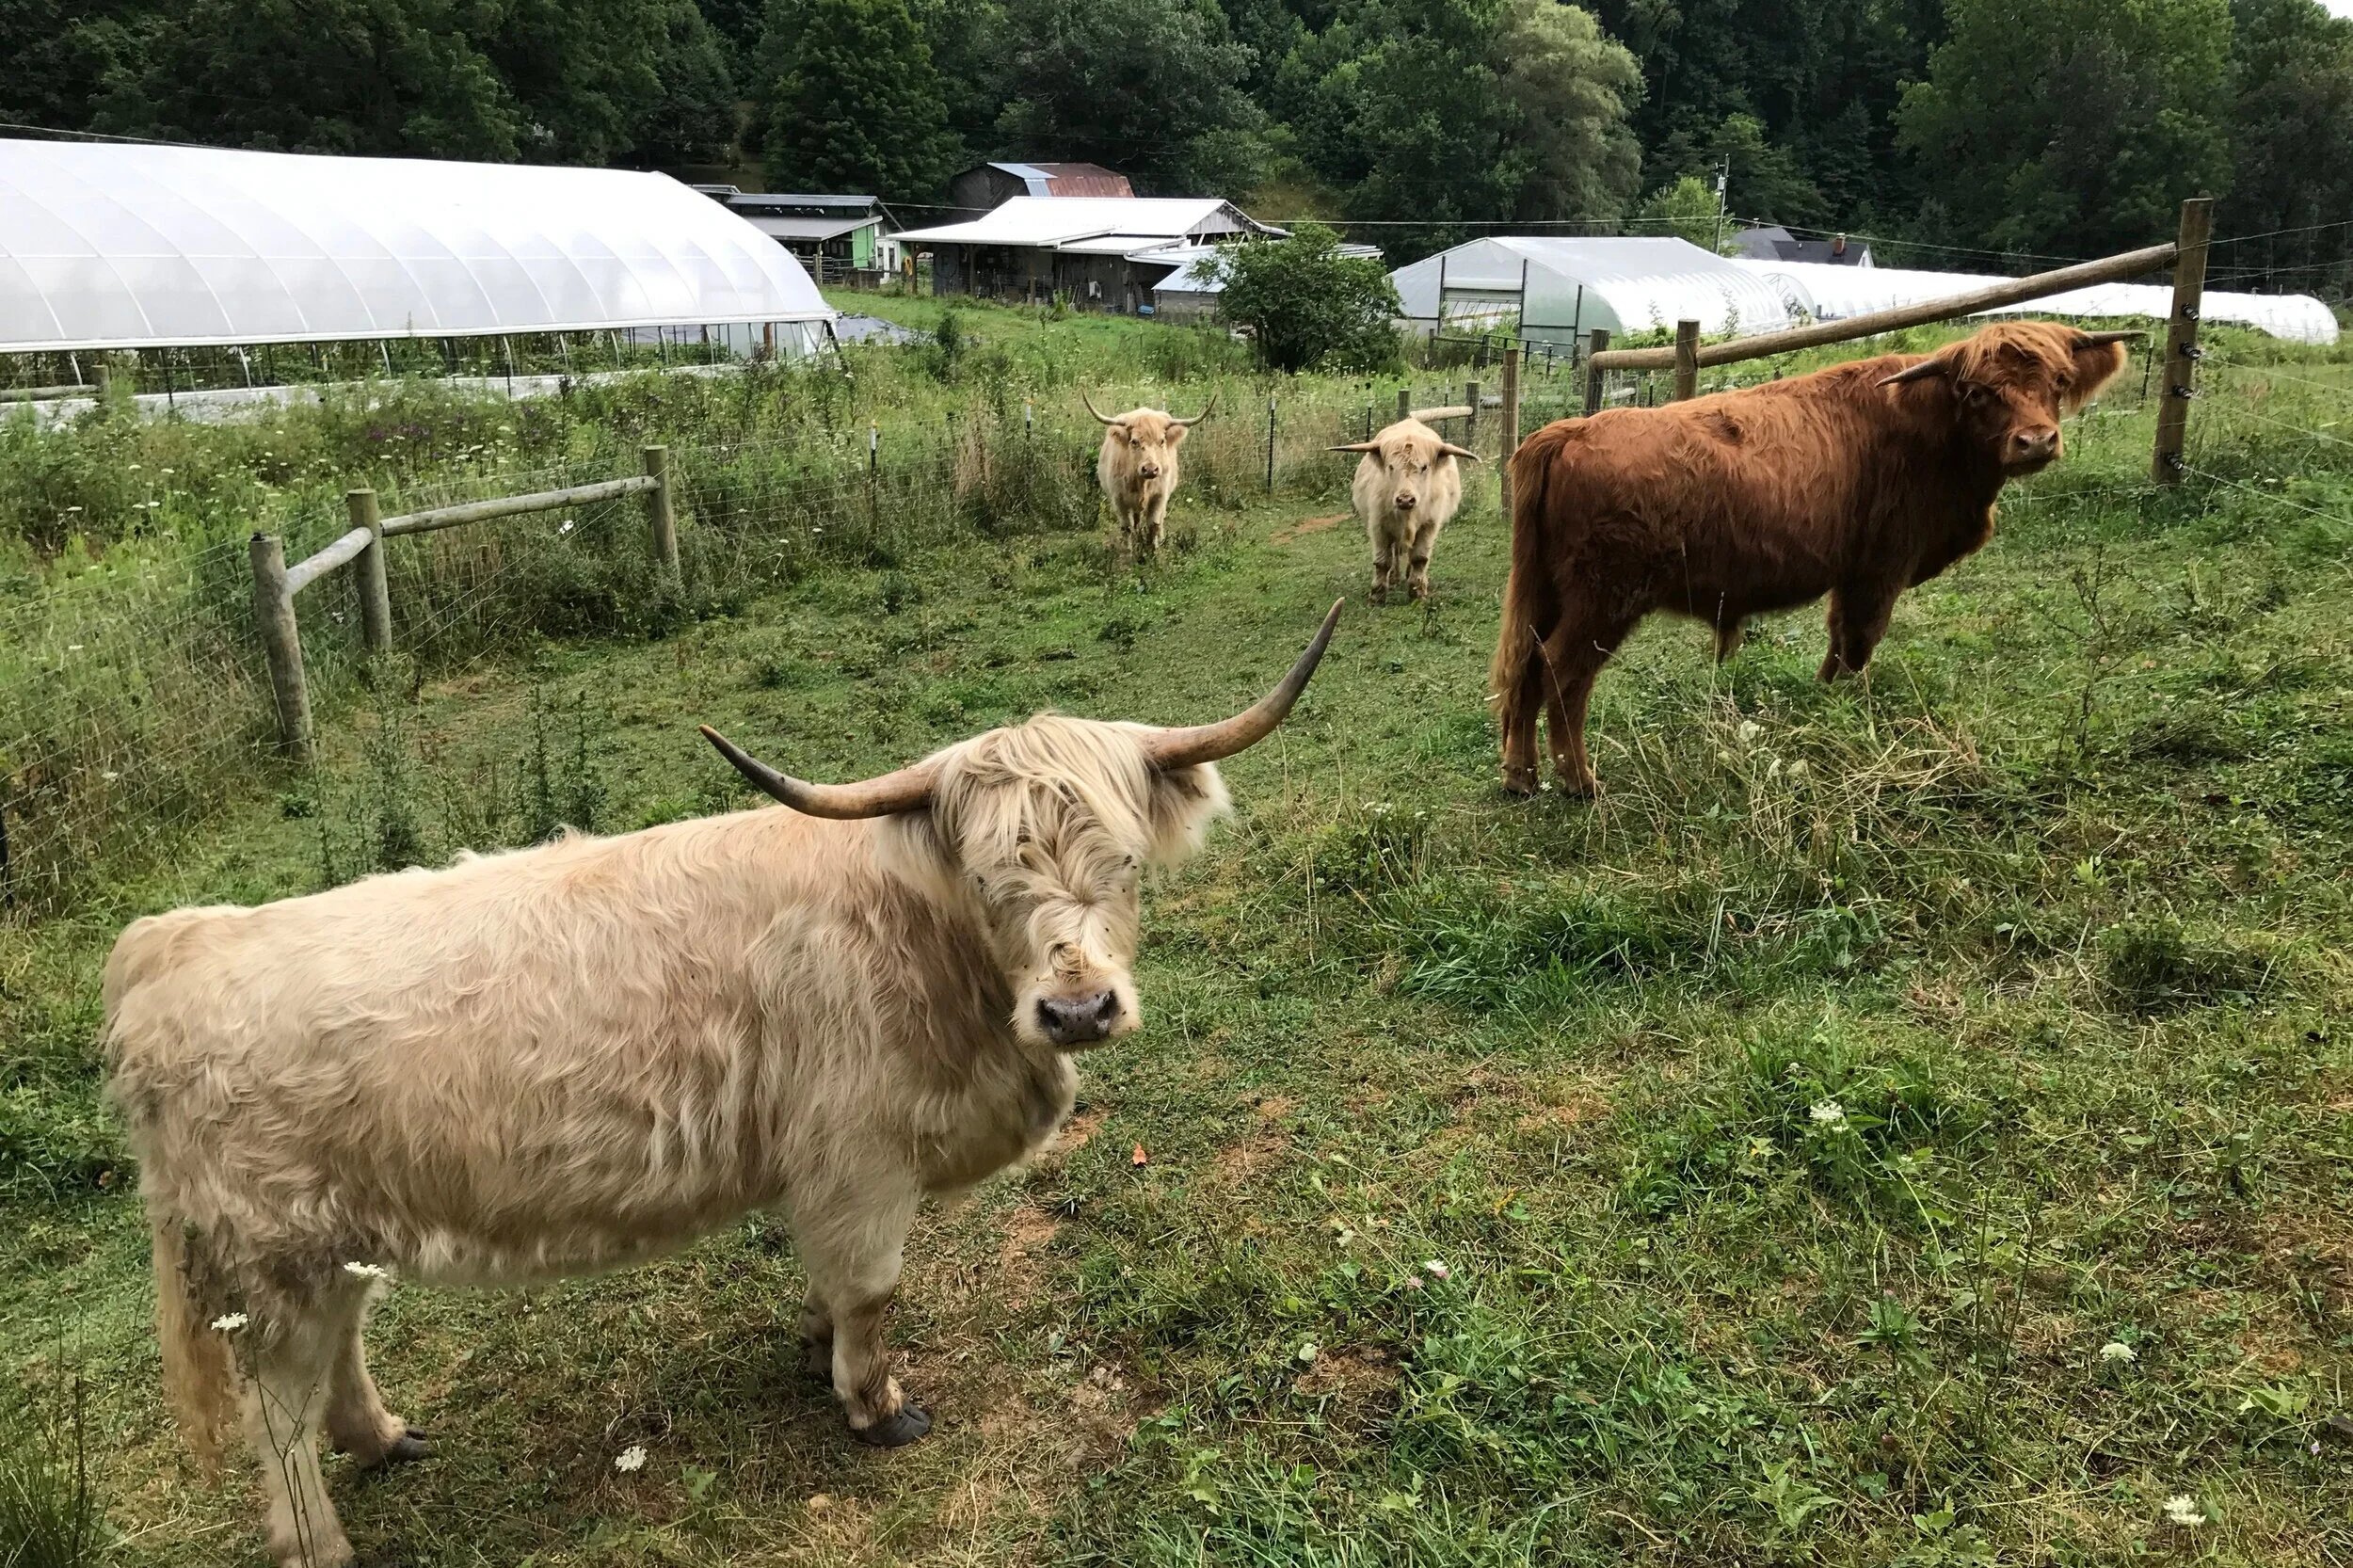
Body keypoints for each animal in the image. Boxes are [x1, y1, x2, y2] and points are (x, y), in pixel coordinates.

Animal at [102, 603, 1340, 1568]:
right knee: (280, 1413)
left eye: (1124, 861)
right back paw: (320, 1537)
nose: (1078, 1010)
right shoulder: (861, 1161)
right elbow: (872, 1291)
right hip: (273, 1267)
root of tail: (173, 945)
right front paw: (874, 1405)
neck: (925, 945)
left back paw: (386, 1433)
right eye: (990, 877)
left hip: (336, 1237)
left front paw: (817, 1348)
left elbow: (833, 1285)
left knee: (344, 1348)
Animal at [1085, 394, 1214, 555]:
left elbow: (1154, 524)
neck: (1142, 484)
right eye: (1134, 441)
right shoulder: (1118, 499)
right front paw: (1128, 551)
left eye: (1162, 441)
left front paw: (1153, 552)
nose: (1151, 469)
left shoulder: (1159, 496)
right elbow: (1126, 527)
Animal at [1330, 417, 1479, 603]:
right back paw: (1394, 577)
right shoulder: (1379, 525)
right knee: (1395, 552)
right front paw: (1377, 595)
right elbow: (1382, 561)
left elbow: (1420, 558)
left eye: (1424, 467)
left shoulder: (1429, 525)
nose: (1405, 500)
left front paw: (1417, 590)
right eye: (1391, 467)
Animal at [1490, 321, 2137, 796]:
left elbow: (1839, 643)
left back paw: (1522, 778)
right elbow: (1859, 642)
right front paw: (1851, 710)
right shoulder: (1881, 570)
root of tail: (1569, 432)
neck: (1928, 424)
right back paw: (1581, 782)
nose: (2036, 441)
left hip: (1549, 594)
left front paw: (1824, 705)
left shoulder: (1850, 575)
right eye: (1979, 392)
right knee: (1562, 672)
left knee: (1526, 668)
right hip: (1605, 602)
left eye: (2059, 381)